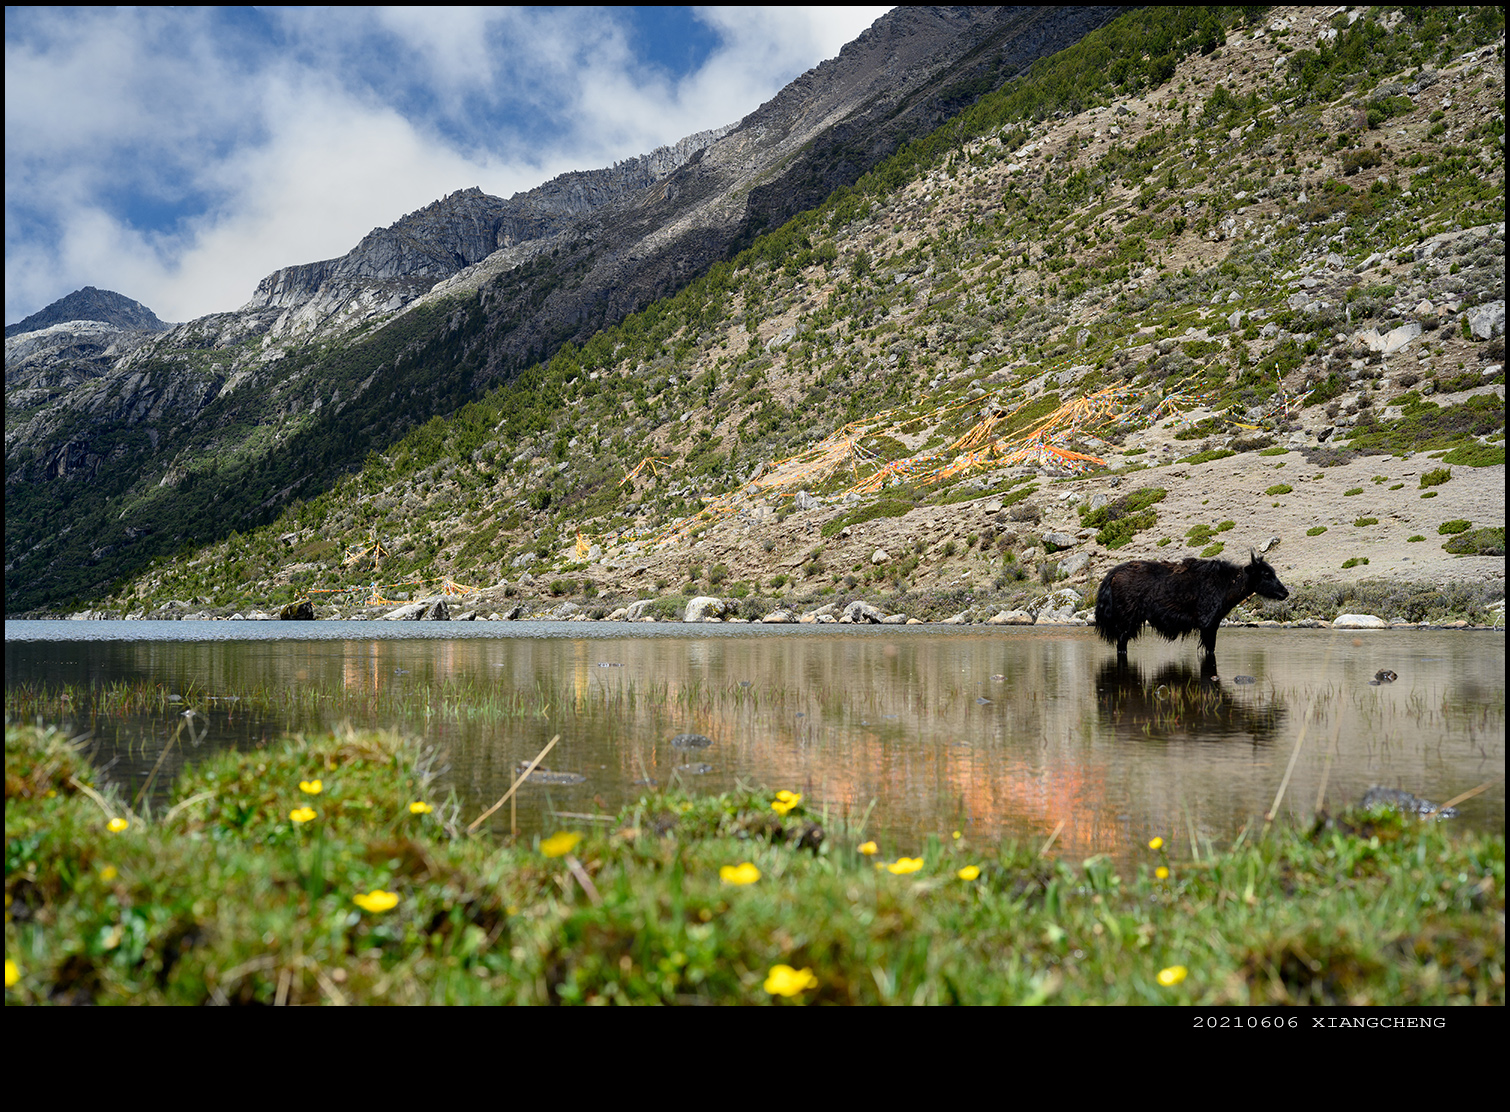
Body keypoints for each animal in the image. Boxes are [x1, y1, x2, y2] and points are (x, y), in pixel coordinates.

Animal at [1093, 551, 1289, 659]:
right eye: (1266, 574)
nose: (1285, 592)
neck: (1227, 583)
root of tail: (1114, 573)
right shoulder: (1208, 624)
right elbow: (1210, 649)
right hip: (1126, 621)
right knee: (1121, 645)